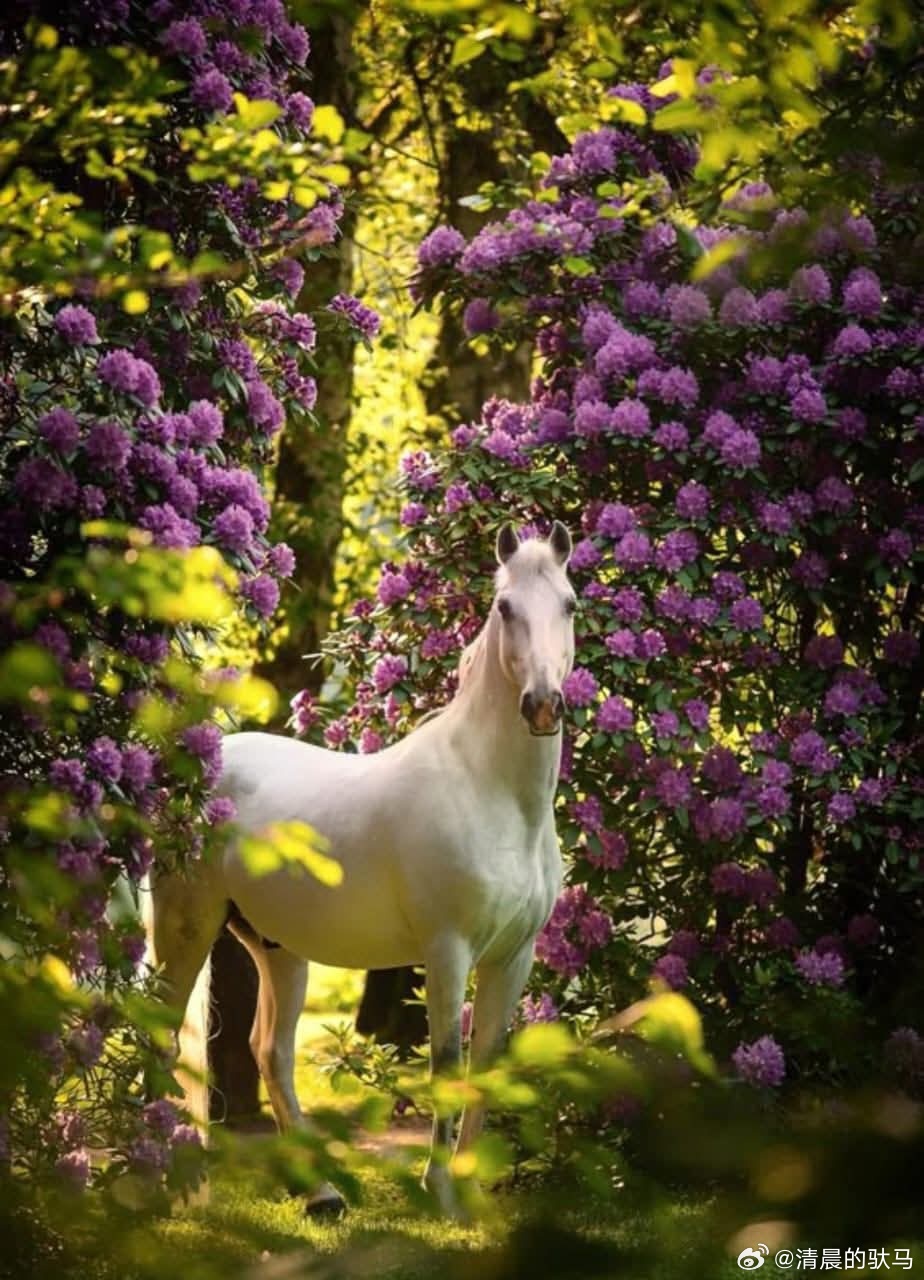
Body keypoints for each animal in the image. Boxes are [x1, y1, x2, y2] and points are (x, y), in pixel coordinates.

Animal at [147, 521, 575, 1216]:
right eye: (505, 607)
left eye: (569, 605)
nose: (541, 705)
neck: (491, 791)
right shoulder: (448, 950)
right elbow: (446, 1063)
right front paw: (441, 1194)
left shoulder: (514, 956)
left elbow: (485, 1064)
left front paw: (469, 1191)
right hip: (186, 930)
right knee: (162, 1037)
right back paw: (167, 1183)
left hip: (277, 948)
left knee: (271, 1052)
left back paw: (319, 1193)